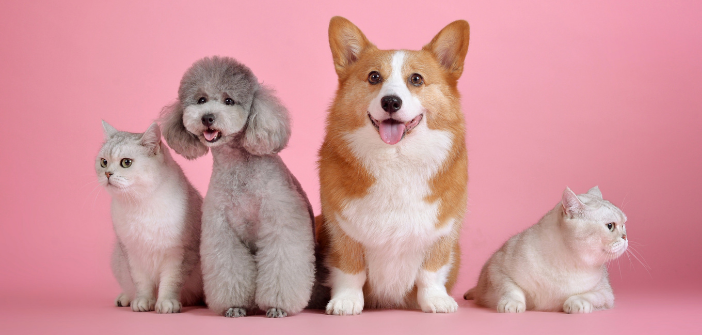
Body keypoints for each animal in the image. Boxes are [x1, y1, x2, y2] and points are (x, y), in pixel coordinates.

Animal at [95, 122, 204, 314]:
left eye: (126, 162)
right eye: (104, 162)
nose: (107, 174)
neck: (140, 204)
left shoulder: (179, 253)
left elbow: (171, 281)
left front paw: (166, 303)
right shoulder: (132, 253)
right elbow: (141, 283)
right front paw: (143, 302)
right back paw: (124, 299)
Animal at [320, 15, 472, 316]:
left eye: (416, 79)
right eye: (374, 77)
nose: (391, 101)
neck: (397, 160)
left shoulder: (444, 230)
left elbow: (431, 271)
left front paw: (436, 300)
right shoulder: (340, 230)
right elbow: (350, 270)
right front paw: (346, 301)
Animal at [464, 188, 628, 314]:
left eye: (624, 225)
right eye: (610, 226)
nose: (625, 237)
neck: (567, 263)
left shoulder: (606, 294)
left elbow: (588, 296)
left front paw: (576, 303)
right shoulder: (497, 269)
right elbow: (511, 289)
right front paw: (512, 305)